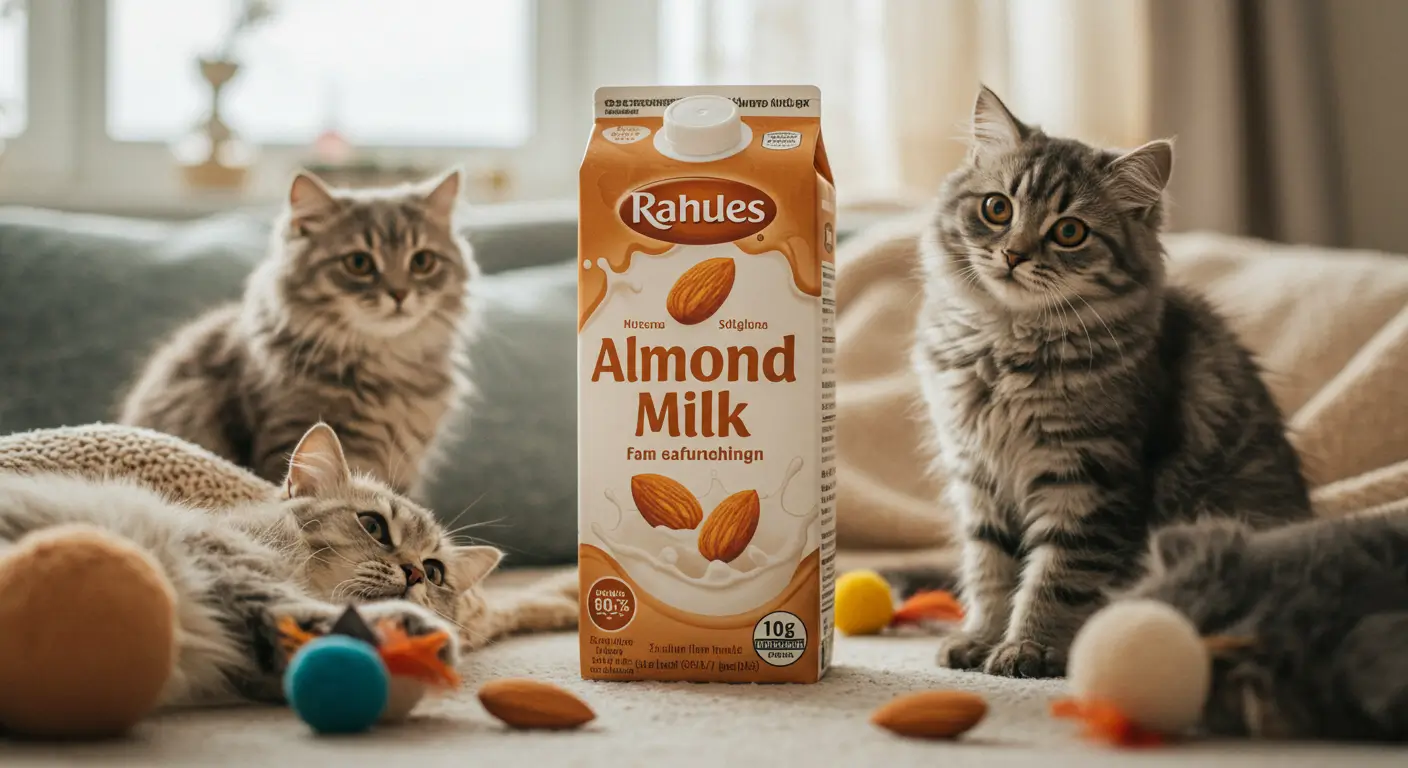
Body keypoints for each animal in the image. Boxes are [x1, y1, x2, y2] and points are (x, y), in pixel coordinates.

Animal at [0, 422, 504, 704]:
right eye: (373, 526)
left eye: (435, 571)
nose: (415, 574)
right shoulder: (223, 559)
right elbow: (299, 610)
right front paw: (409, 631)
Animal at [918, 86, 1312, 679]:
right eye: (997, 208)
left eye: (1069, 231)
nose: (1013, 254)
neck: (1004, 349)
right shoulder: (979, 477)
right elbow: (990, 569)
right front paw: (979, 639)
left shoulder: (1088, 479)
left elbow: (1055, 577)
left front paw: (1027, 650)